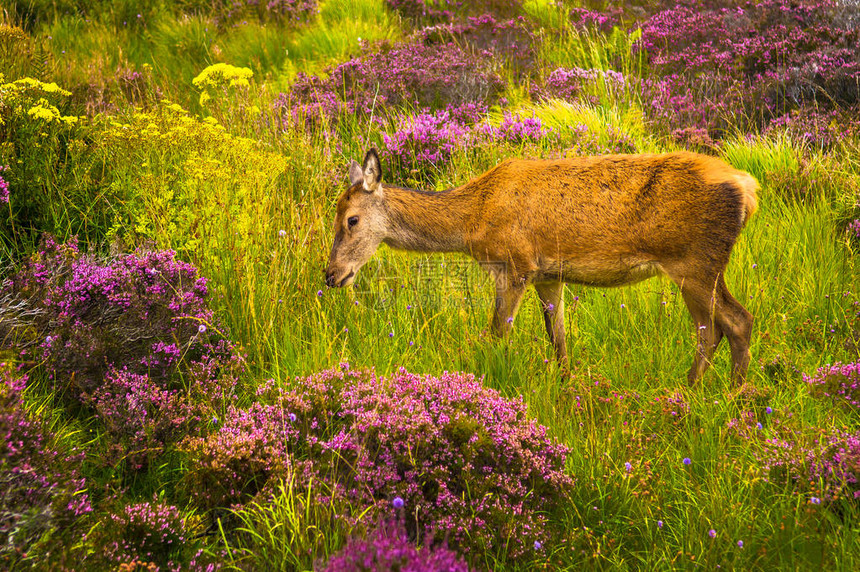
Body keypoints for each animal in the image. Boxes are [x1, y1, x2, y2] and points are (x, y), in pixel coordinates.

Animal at [324, 149, 760, 384]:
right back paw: (719, 391)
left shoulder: (515, 265)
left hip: (694, 263)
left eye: (351, 220)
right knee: (728, 324)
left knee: (721, 327)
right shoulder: (549, 275)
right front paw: (567, 386)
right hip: (707, 266)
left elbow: (497, 334)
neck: (471, 220)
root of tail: (749, 189)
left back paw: (701, 393)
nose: (331, 275)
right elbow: (559, 339)